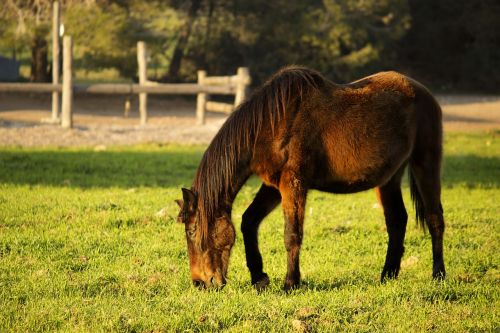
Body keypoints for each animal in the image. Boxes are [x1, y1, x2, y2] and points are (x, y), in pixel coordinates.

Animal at [176, 65, 446, 290]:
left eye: (192, 231)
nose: (199, 282)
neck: (271, 124)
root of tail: (424, 93)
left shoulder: (293, 183)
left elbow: (292, 234)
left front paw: (290, 283)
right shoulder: (273, 186)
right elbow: (248, 221)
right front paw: (259, 277)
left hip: (425, 163)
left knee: (434, 218)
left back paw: (438, 275)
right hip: (388, 179)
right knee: (397, 221)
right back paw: (387, 276)